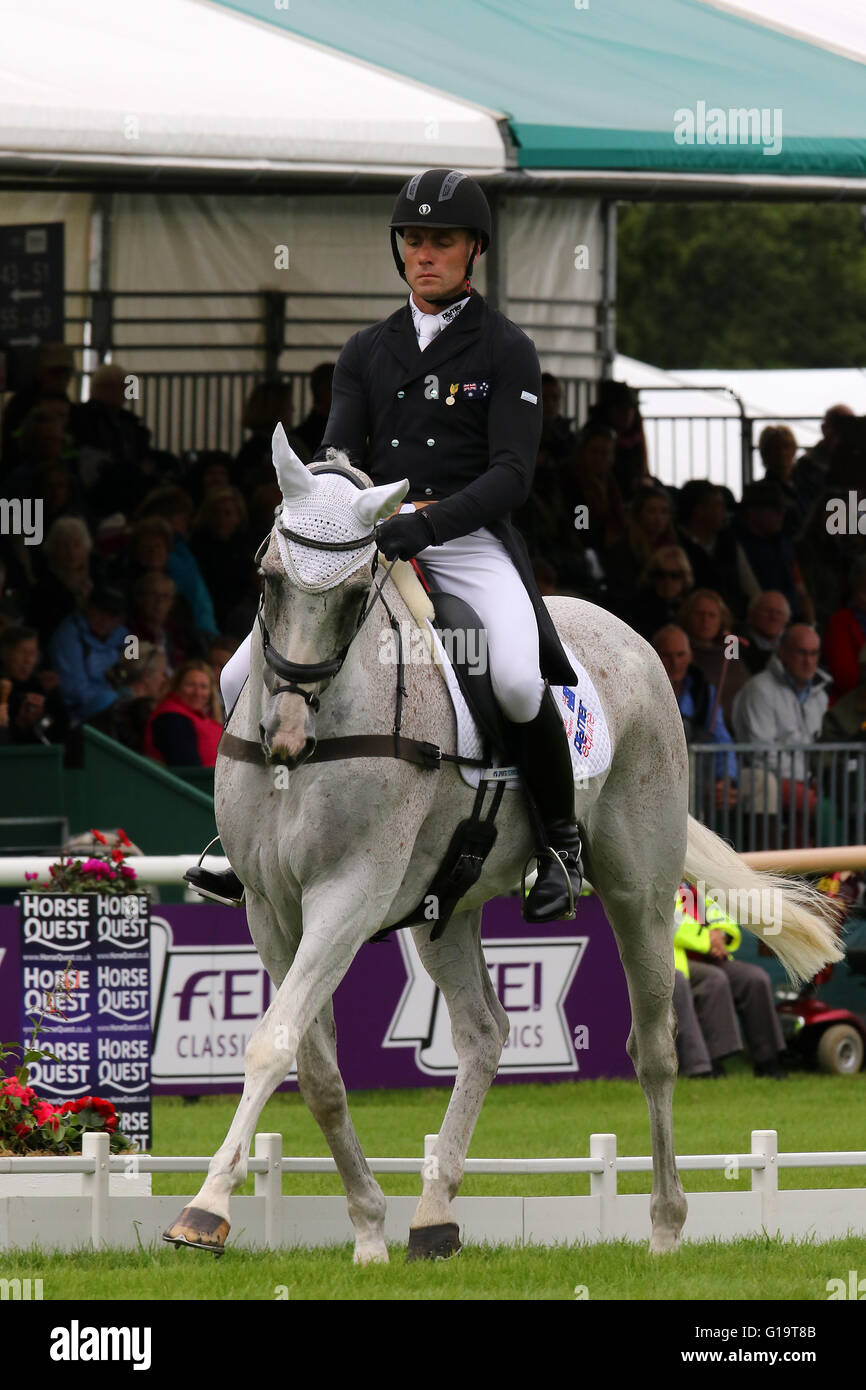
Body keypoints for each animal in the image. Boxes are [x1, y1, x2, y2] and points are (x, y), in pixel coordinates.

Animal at [162, 428, 839, 1267]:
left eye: (354, 597)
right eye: (268, 578)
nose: (284, 736)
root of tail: (632, 637)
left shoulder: (347, 897)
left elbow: (271, 1043)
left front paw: (205, 1210)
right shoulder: (269, 907)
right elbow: (314, 1067)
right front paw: (367, 1225)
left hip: (640, 893)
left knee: (654, 1047)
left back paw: (664, 1226)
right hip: (446, 907)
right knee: (484, 1034)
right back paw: (432, 1215)